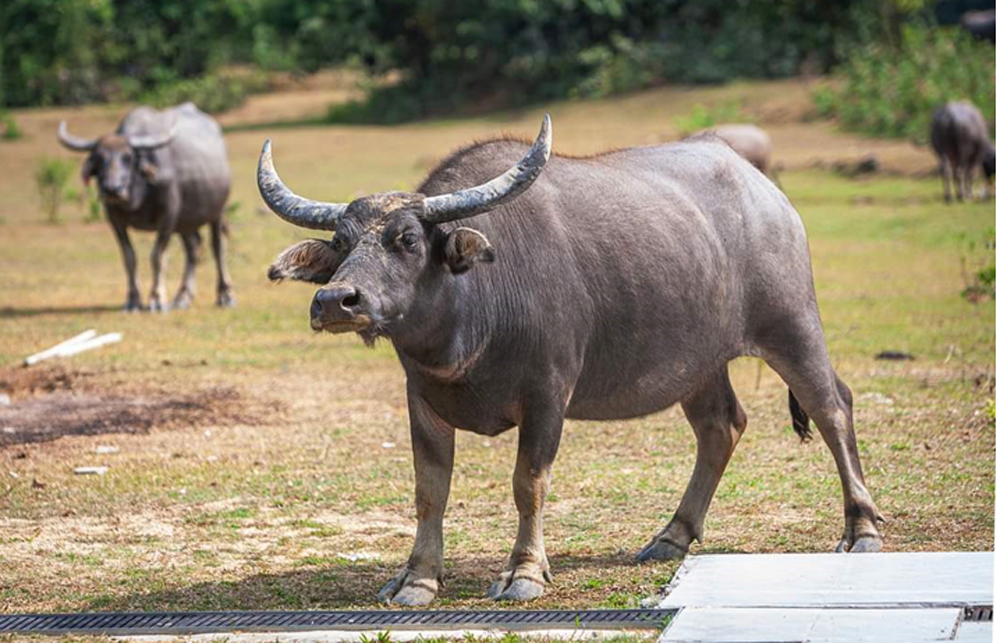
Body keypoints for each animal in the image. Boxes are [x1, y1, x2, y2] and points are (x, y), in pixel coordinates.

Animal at [59, 102, 235, 310]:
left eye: (128, 157)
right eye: (99, 158)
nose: (112, 189)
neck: (139, 193)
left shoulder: (168, 217)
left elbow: (157, 256)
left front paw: (157, 298)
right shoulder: (115, 220)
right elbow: (129, 257)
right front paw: (133, 300)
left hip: (217, 211)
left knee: (217, 246)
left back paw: (225, 295)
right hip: (185, 222)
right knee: (193, 248)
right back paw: (183, 297)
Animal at [258, 114, 884, 604]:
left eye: (407, 239)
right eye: (341, 242)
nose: (335, 301)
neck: (474, 316)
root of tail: (765, 191)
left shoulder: (547, 395)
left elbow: (528, 483)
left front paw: (524, 573)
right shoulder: (423, 400)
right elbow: (428, 489)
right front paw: (417, 579)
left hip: (792, 323)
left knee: (833, 407)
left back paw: (862, 528)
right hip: (699, 363)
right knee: (721, 425)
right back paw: (672, 536)